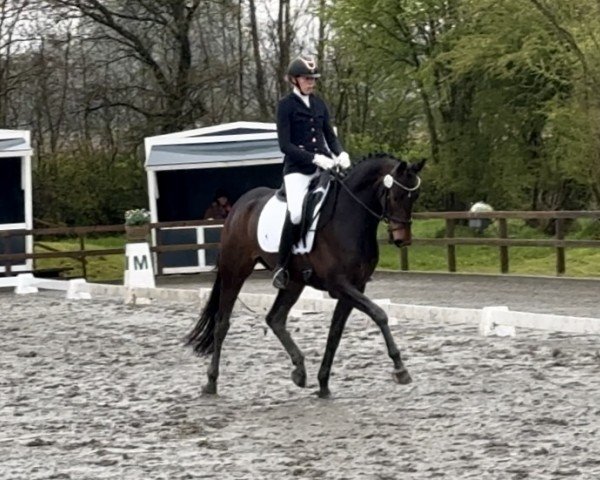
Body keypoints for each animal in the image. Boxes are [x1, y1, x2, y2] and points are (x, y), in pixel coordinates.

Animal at [185, 154, 424, 398]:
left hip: (294, 282)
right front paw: (400, 368)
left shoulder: (355, 286)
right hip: (235, 271)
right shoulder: (339, 285)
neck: (349, 217)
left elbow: (335, 333)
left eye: (414, 196)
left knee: (275, 318)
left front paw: (323, 384)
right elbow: (380, 314)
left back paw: (299, 370)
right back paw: (211, 382)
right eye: (395, 195)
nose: (402, 239)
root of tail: (240, 205)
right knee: (222, 323)